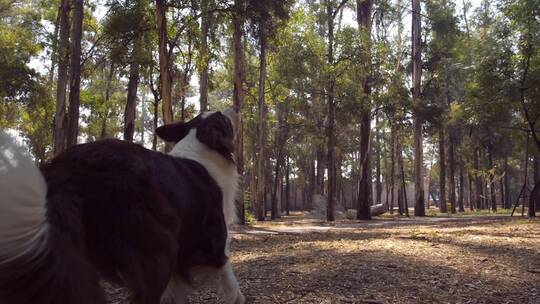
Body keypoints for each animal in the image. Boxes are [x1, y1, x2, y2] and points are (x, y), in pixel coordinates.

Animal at [0, 109, 246, 304]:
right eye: (223, 118)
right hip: (159, 246)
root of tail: (67, 167)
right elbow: (230, 278)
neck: (201, 148)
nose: (234, 108)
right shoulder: (215, 242)